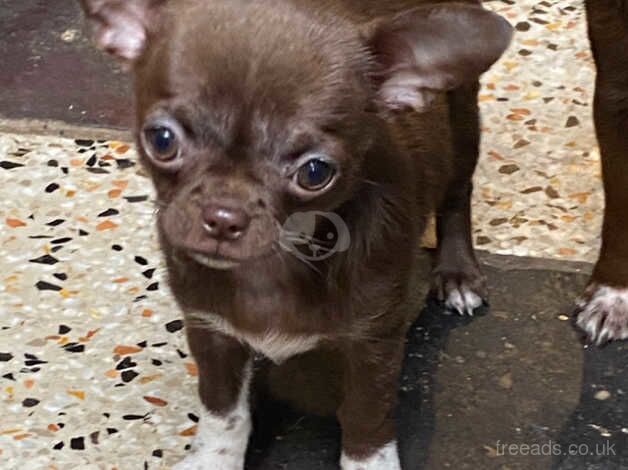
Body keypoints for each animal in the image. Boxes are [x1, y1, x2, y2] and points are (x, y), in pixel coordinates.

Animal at [79, 1, 510, 468]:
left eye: (315, 172)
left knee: (457, 194)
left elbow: (366, 417)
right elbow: (223, 413)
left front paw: (368, 461)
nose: (223, 216)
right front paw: (215, 459)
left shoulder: (373, 342)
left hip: (463, 121)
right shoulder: (212, 332)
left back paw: (457, 273)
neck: (270, 268)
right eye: (161, 140)